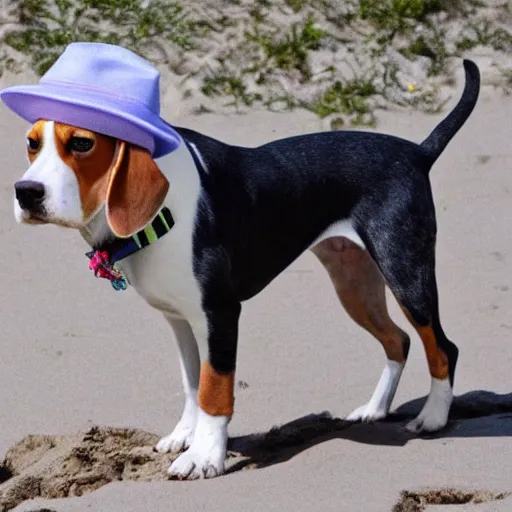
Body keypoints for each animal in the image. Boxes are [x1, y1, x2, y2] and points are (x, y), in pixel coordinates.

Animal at [9, 61, 480, 480]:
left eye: (82, 144)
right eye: (32, 143)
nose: (26, 192)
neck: (164, 211)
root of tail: (416, 152)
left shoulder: (219, 313)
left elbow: (214, 389)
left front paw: (205, 458)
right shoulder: (181, 319)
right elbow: (192, 384)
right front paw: (187, 436)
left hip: (406, 273)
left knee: (443, 346)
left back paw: (433, 418)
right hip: (354, 285)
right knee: (398, 340)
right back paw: (375, 409)